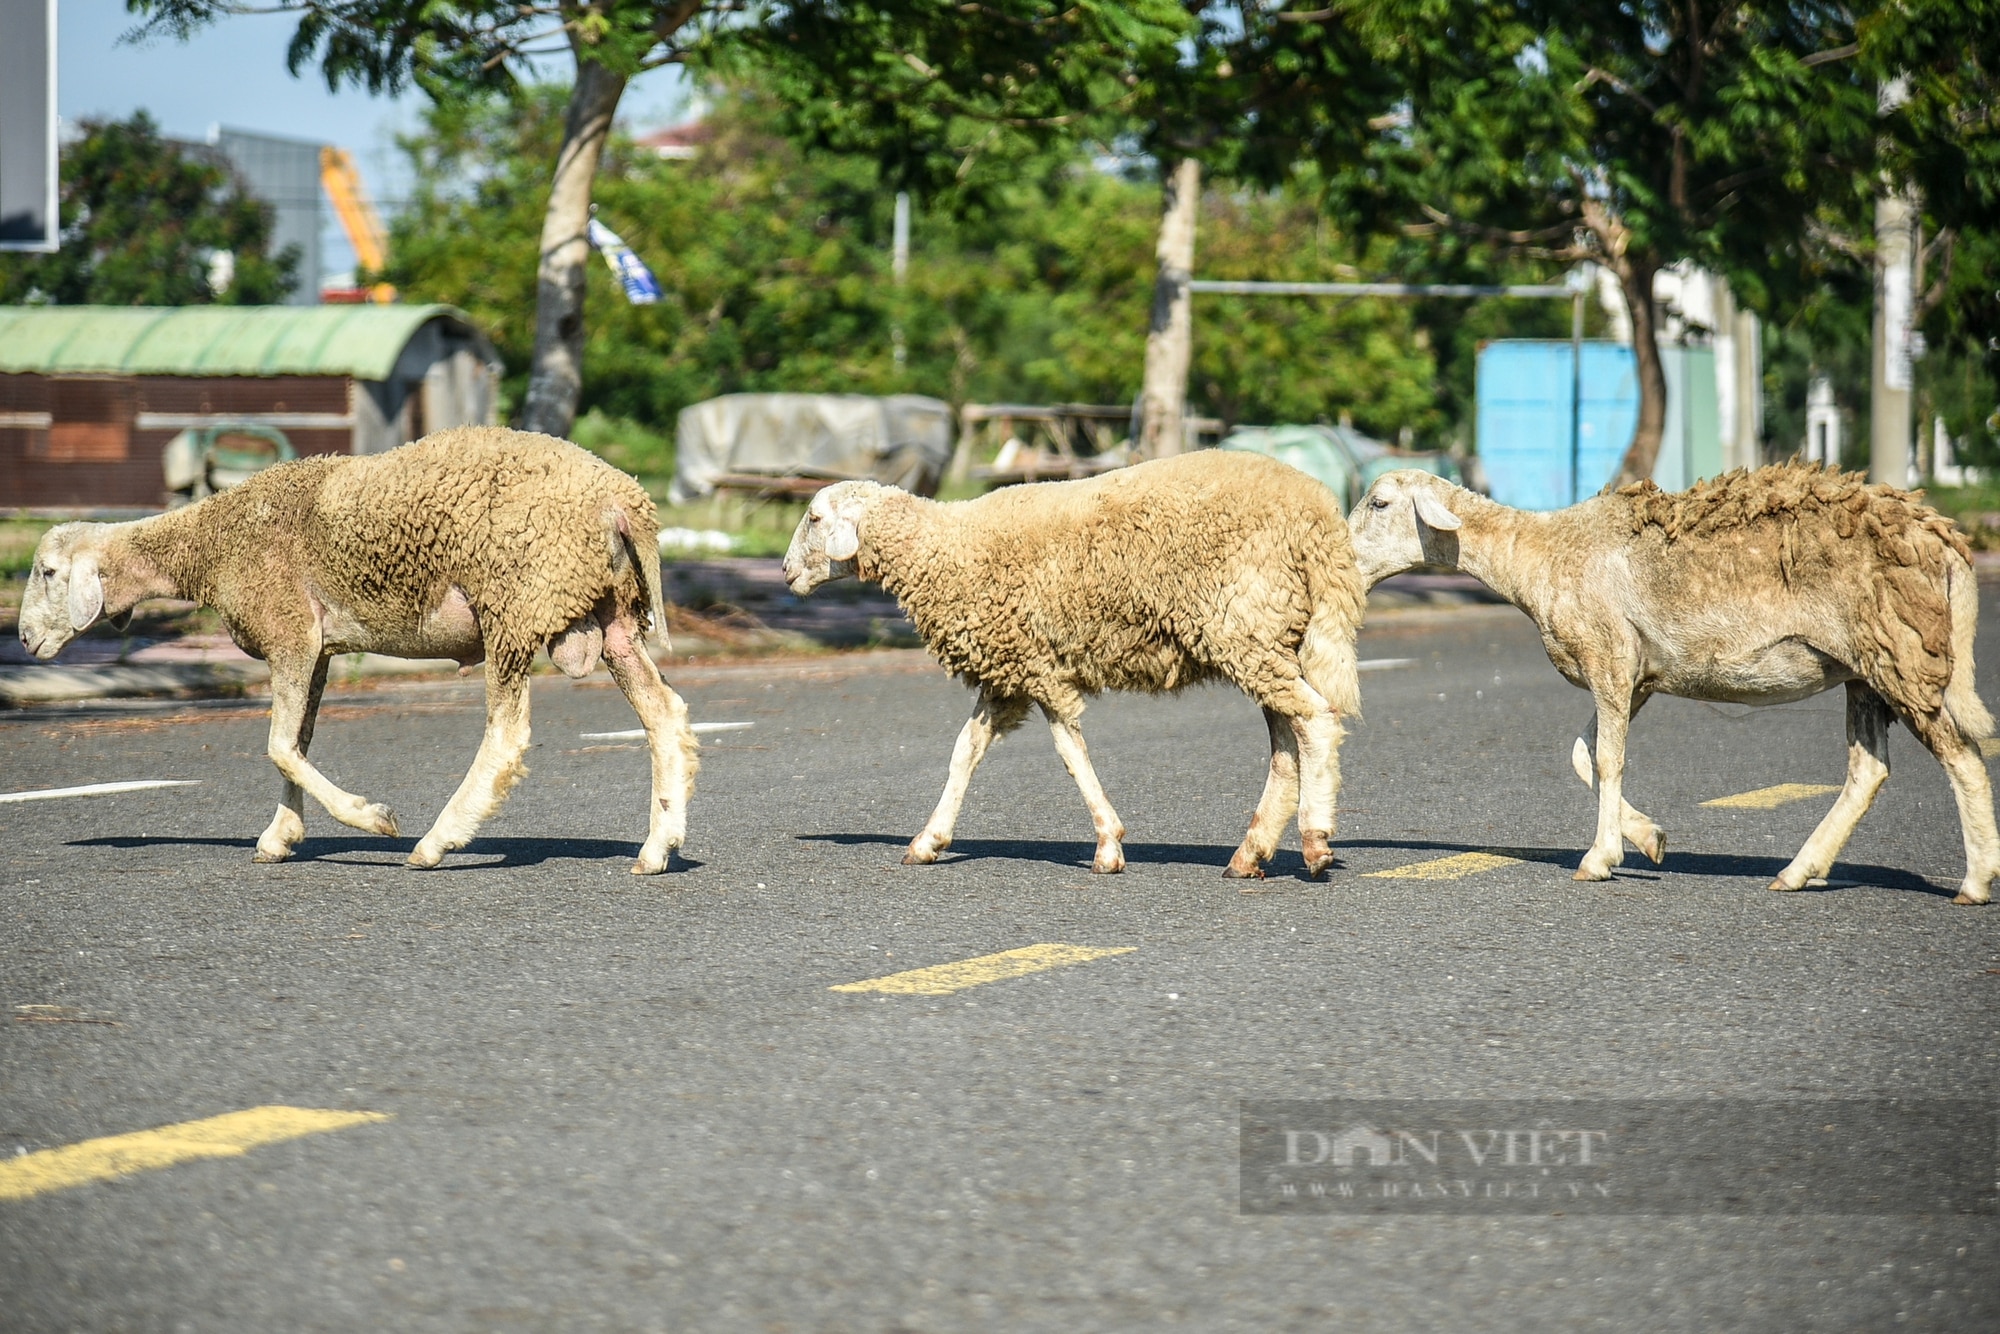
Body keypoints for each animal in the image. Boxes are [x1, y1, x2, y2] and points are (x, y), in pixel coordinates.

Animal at [17, 422, 696, 872]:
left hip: (516, 600)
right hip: (610, 615)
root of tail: (626, 502)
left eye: (48, 572)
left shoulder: (289, 628)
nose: (23, 639)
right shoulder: (315, 649)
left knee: (506, 736)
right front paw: (280, 836)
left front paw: (370, 817)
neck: (213, 547)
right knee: (664, 714)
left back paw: (435, 842)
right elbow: (295, 745)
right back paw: (658, 846)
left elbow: (278, 747)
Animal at [772, 454, 1368, 880]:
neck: (945, 549)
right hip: (1267, 636)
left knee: (1315, 721)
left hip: (1248, 624)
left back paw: (1315, 843)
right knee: (1287, 743)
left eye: (814, 517)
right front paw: (928, 841)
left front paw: (1108, 845)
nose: (783, 573)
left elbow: (1068, 754)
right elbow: (965, 751)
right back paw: (1251, 854)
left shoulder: (1038, 667)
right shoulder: (1008, 670)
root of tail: (1322, 520)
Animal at [1344, 462, 2000, 908]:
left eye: (1379, 503)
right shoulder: (1637, 674)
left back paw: (1974, 881)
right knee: (1869, 769)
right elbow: (1583, 754)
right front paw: (1650, 838)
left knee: (1962, 758)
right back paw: (1798, 871)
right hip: (1866, 668)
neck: (1539, 557)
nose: (1340, 560)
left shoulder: (1608, 654)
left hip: (1904, 651)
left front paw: (1600, 858)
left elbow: (1607, 759)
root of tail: (1946, 538)